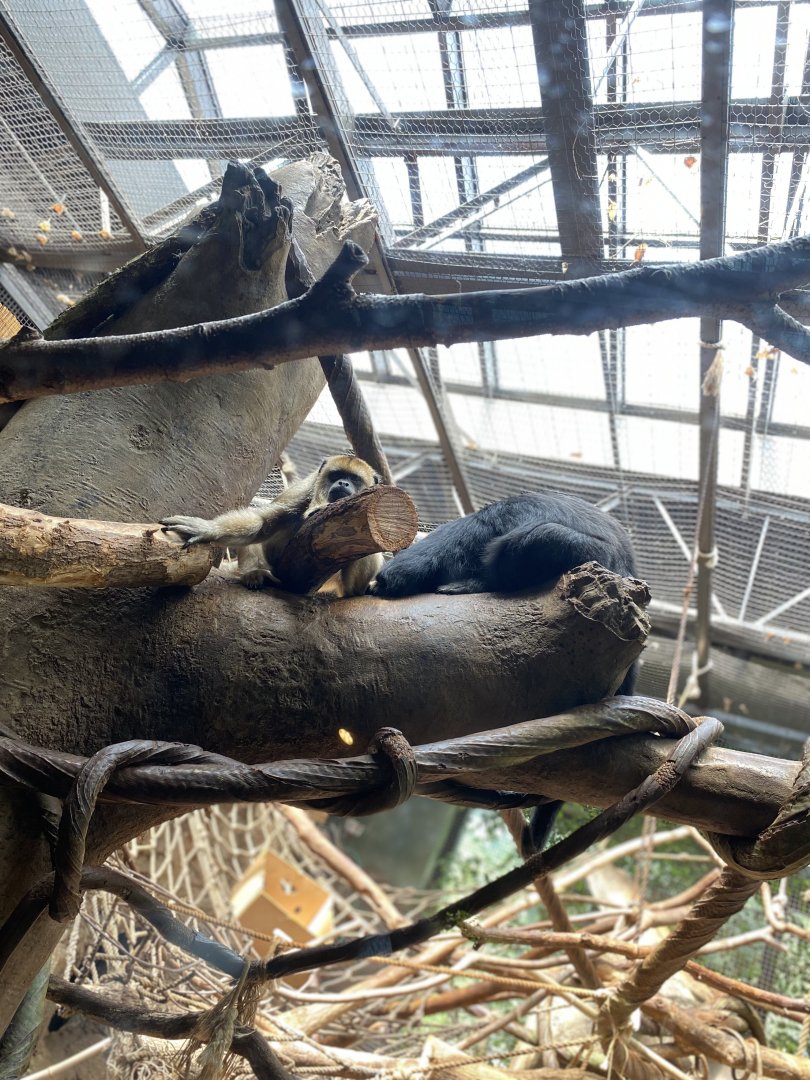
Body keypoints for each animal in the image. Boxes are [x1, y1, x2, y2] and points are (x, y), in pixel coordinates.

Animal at [161, 454, 384, 597]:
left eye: (354, 479)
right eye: (335, 475)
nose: (343, 483)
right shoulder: (304, 490)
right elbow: (262, 523)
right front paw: (207, 529)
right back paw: (254, 575)